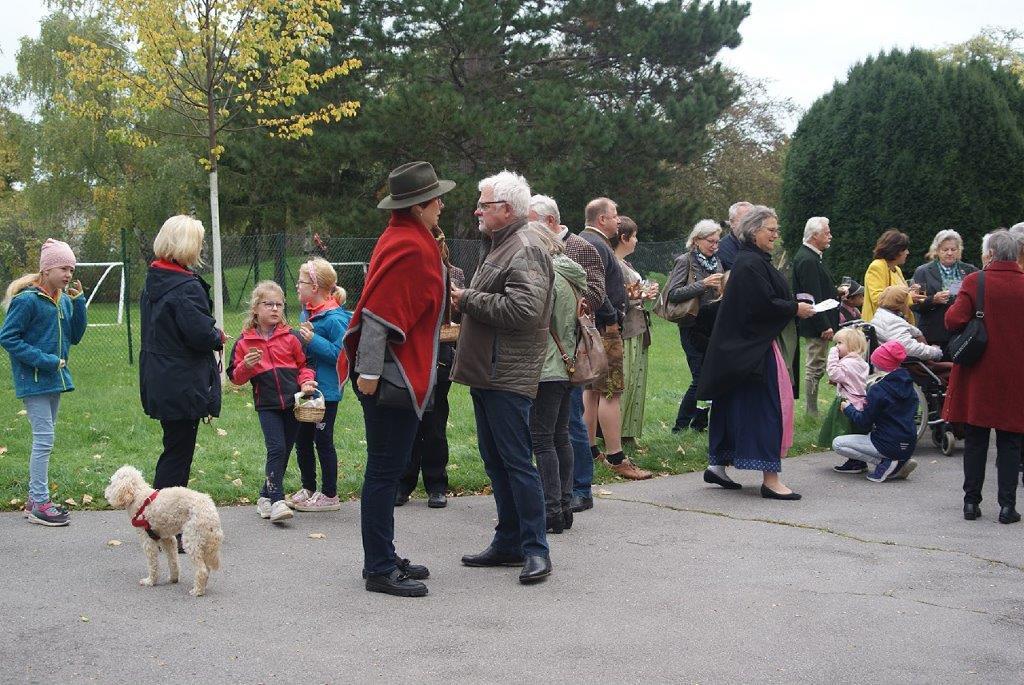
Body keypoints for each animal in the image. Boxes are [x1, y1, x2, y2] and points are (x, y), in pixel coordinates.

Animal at [104, 465, 223, 597]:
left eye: (111, 483)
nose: (105, 493)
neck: (138, 496)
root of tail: (210, 512)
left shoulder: (148, 540)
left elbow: (153, 564)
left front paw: (150, 581)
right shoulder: (167, 539)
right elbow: (173, 561)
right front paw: (173, 578)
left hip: (192, 540)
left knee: (202, 570)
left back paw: (198, 591)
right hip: (202, 541)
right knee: (207, 568)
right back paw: (202, 587)